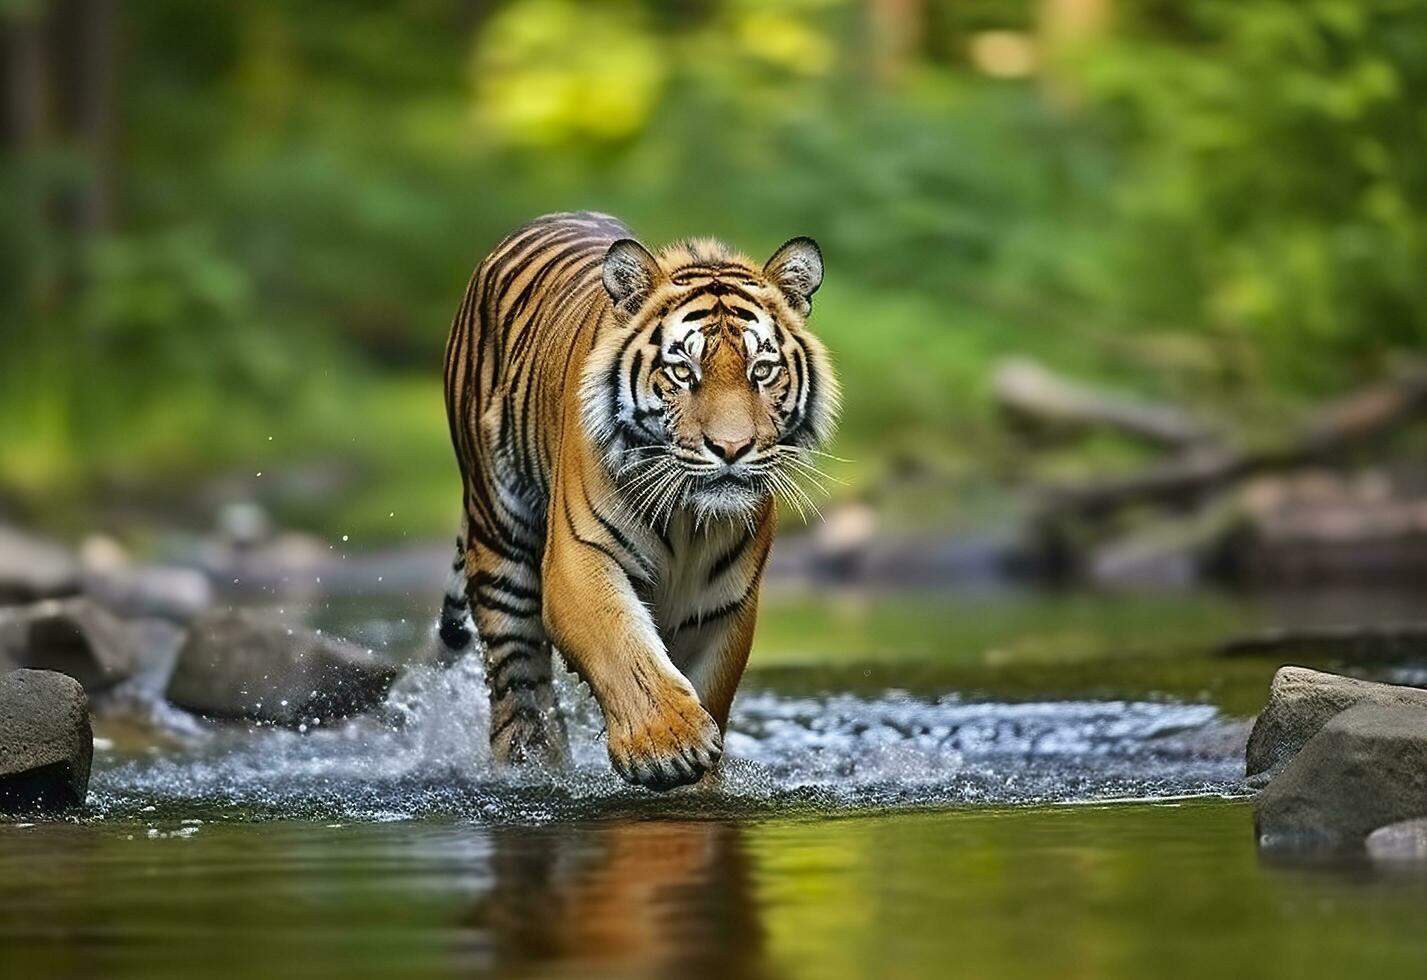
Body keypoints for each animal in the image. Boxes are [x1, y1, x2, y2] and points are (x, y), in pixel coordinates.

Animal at [433, 212, 833, 787]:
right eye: (682, 371)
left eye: (762, 370)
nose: (731, 448)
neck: (690, 519)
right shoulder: (578, 557)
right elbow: (621, 646)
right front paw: (669, 744)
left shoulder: (723, 599)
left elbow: (709, 685)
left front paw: (700, 780)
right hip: (498, 536)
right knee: (518, 678)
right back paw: (531, 765)